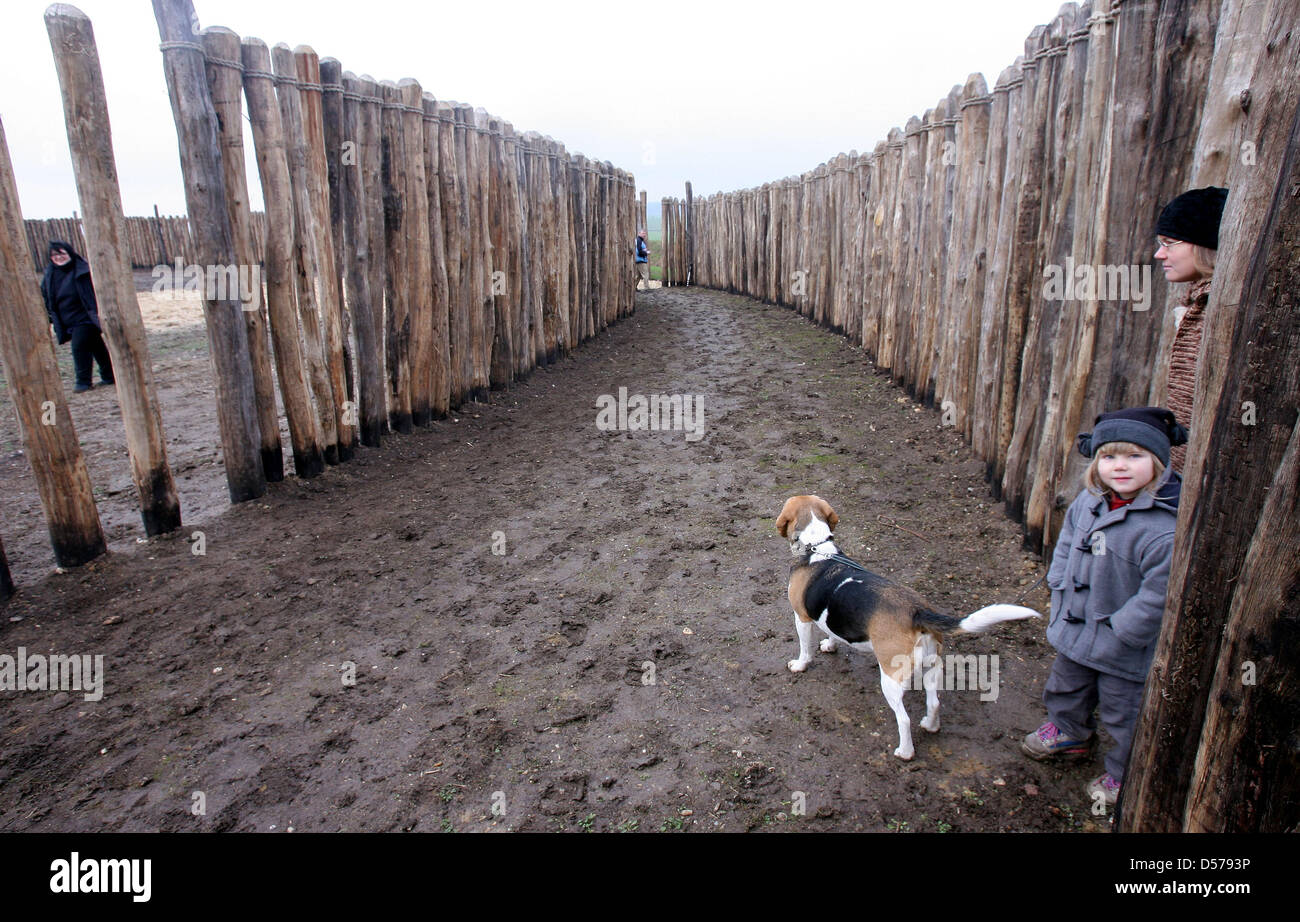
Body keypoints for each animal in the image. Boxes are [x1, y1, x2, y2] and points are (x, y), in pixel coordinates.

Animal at [774, 491, 1040, 759]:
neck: (817, 547)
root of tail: (916, 611)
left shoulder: (801, 617)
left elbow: (805, 648)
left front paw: (800, 665)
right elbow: (831, 631)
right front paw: (830, 645)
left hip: (891, 679)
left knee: (903, 719)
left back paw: (905, 752)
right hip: (932, 666)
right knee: (934, 702)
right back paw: (930, 725)